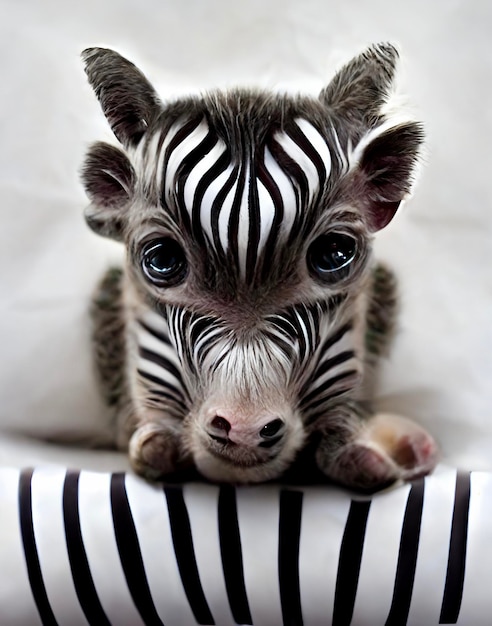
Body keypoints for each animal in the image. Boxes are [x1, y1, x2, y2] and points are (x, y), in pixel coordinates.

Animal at [81, 42, 438, 488]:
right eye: (161, 260)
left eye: (334, 255)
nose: (245, 430)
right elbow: (149, 436)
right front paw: (155, 444)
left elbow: (342, 419)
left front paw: (359, 454)